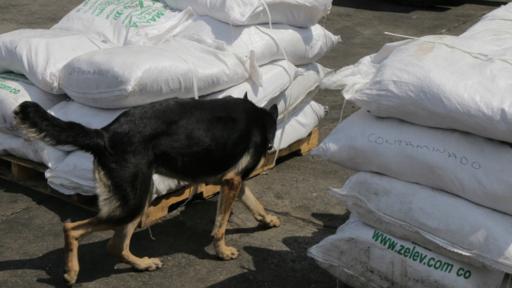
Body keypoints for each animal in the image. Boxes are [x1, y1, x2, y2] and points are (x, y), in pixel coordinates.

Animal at [14, 96, 282, 284]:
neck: (260, 118)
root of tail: (105, 133)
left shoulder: (234, 182)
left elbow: (254, 202)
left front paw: (267, 219)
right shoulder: (232, 181)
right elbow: (221, 225)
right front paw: (222, 251)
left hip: (138, 199)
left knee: (115, 246)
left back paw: (141, 265)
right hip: (132, 203)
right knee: (72, 228)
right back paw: (71, 272)